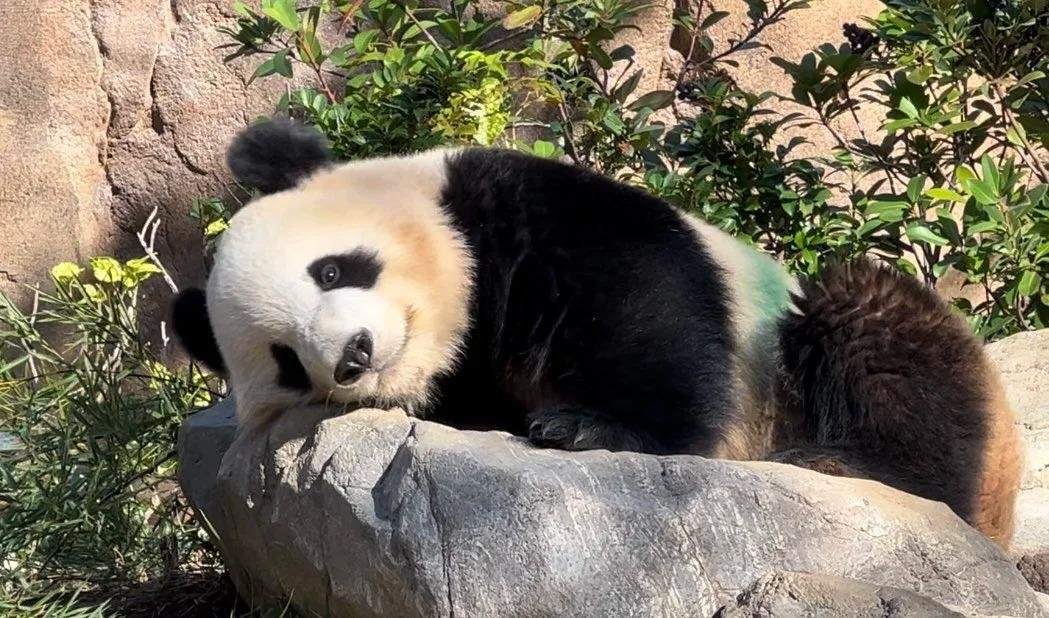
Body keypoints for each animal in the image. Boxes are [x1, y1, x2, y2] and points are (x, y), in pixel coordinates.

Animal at [173, 118, 1022, 548]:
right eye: (286, 361)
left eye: (332, 270)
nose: (353, 356)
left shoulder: (513, 200)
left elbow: (645, 303)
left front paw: (591, 427)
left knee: (875, 325)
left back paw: (846, 461)